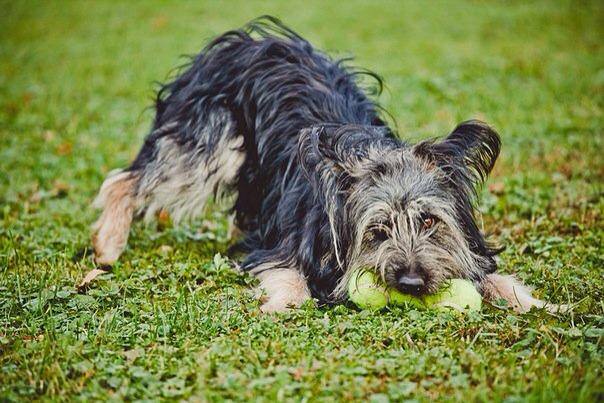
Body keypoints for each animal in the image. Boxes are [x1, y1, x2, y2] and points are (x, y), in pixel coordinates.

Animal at [91, 16, 564, 313]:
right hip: (209, 140)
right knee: (127, 178)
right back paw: (109, 245)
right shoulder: (285, 242)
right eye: (378, 231)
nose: (411, 283)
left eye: (430, 222)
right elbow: (287, 275)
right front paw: (282, 303)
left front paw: (542, 304)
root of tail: (247, 41)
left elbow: (495, 276)